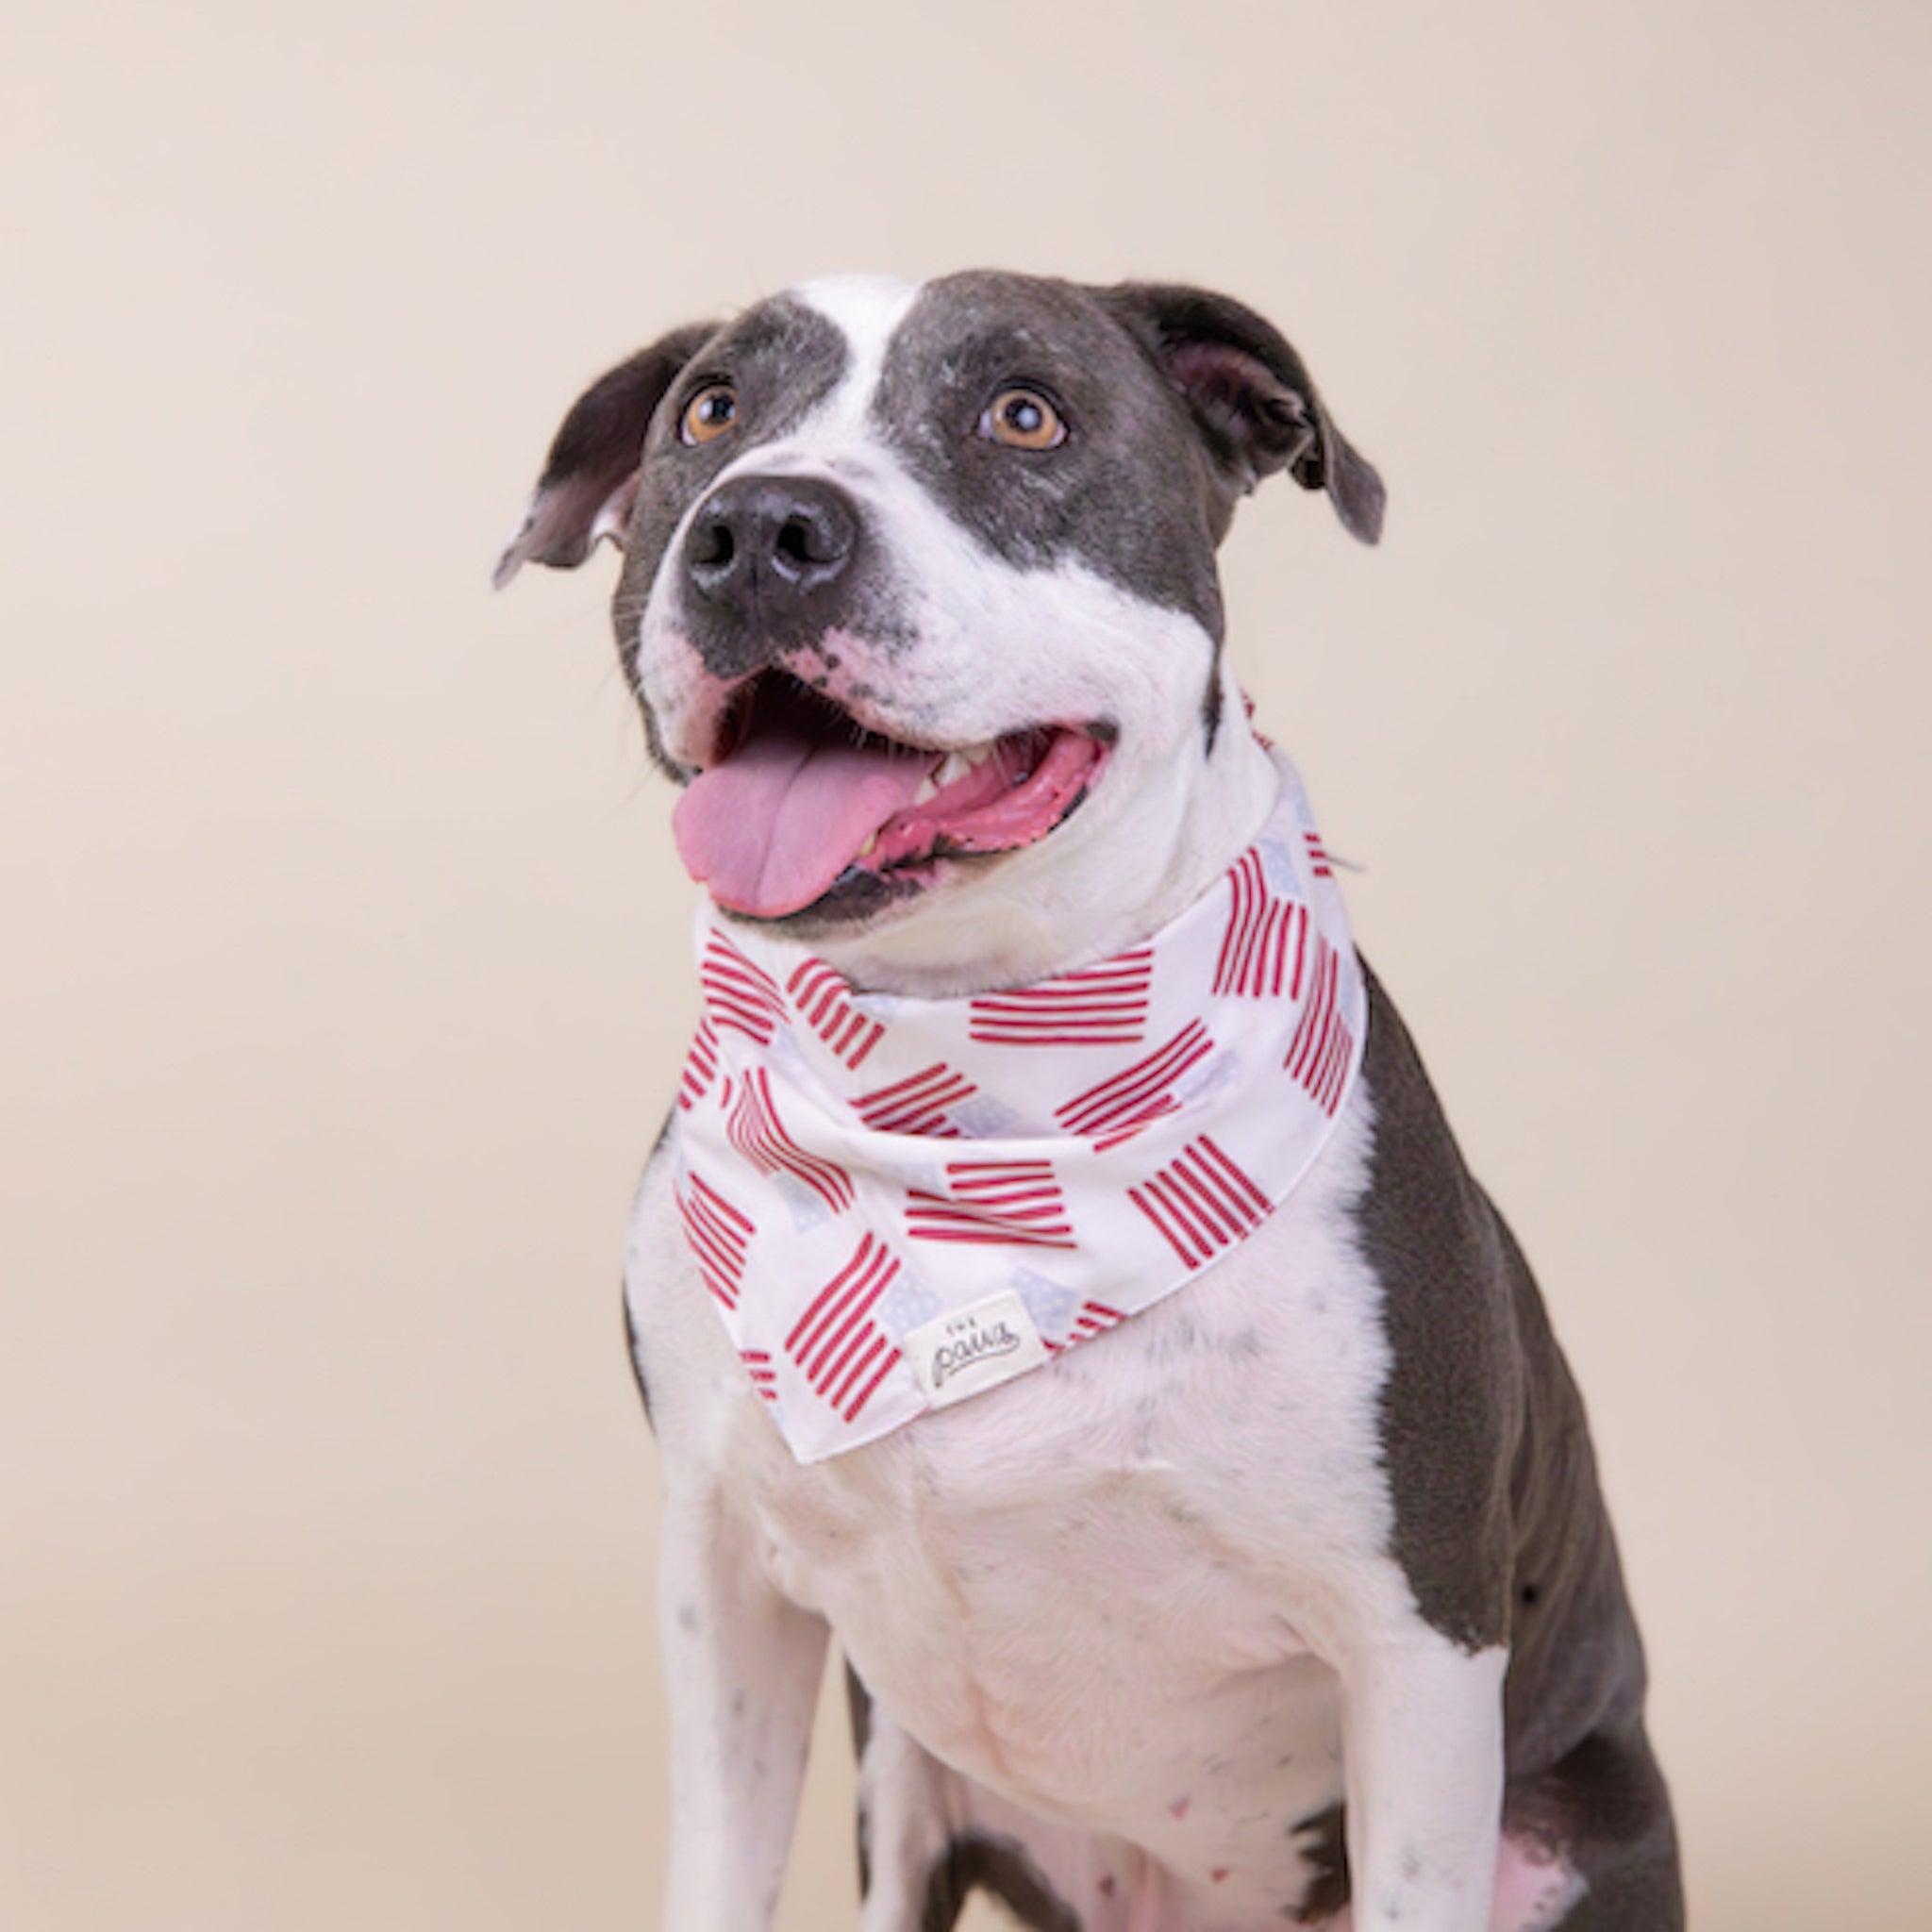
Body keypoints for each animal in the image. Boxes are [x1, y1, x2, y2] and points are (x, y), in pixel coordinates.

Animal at [494, 272, 1676, 1932]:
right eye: (710, 413)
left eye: (1025, 415)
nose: (759, 527)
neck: (968, 1119)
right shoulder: (722, 1587)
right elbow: (718, 1868)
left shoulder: (1419, 1649)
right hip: (903, 1789)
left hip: (1573, 1824)